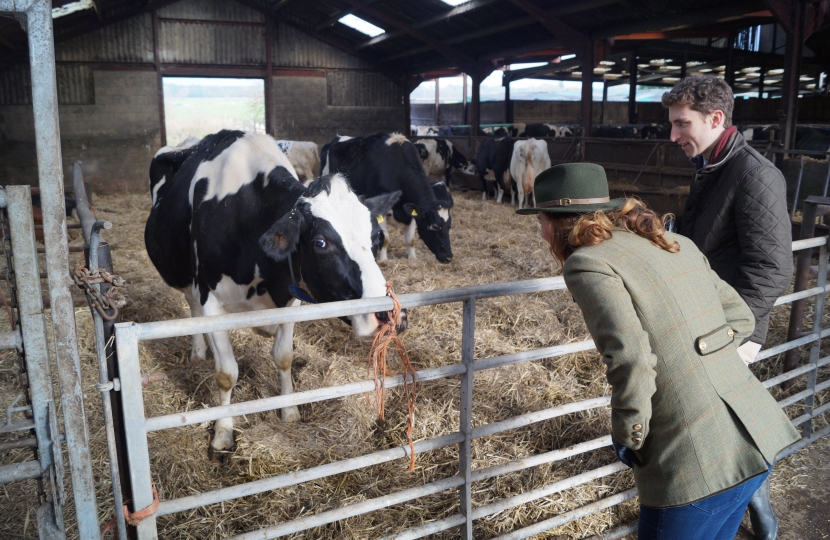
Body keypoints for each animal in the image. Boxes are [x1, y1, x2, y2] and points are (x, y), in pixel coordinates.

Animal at [146, 130, 406, 456]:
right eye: (320, 243)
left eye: (375, 237)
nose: (389, 316)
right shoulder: (211, 300)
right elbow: (226, 374)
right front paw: (222, 434)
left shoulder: (289, 301)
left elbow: (284, 357)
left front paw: (289, 410)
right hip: (185, 278)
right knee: (191, 306)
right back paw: (198, 351)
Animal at [324, 133, 456, 264]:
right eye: (435, 227)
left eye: (449, 226)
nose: (448, 257)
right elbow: (386, 238)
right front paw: (383, 260)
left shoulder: (411, 211)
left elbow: (411, 239)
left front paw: (412, 258)